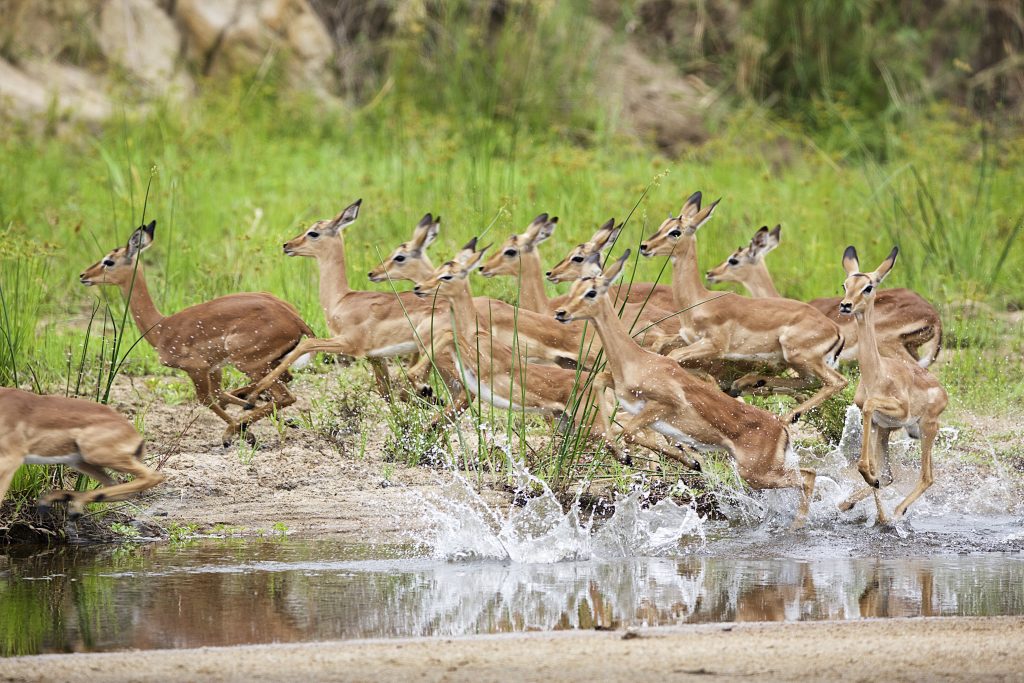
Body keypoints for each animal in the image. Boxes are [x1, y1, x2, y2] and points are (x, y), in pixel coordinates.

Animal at [0, 388, 164, 517]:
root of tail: (136, 435)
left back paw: (71, 506)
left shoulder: (12, 459)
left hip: (95, 455)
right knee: (116, 486)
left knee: (152, 476)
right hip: (80, 461)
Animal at [80, 221, 313, 445]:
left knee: (285, 396)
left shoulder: (196, 367)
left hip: (248, 362)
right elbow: (220, 394)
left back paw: (233, 431)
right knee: (283, 382)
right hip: (266, 363)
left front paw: (240, 433)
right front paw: (254, 428)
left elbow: (206, 399)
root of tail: (296, 320)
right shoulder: (215, 367)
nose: (84, 275)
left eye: (109, 261)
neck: (161, 328)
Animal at [553, 251, 815, 528]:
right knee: (807, 474)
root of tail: (781, 426)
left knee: (808, 477)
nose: (561, 312)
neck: (635, 360)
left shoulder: (666, 404)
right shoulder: (621, 391)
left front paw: (689, 460)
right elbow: (600, 384)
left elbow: (631, 433)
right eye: (574, 287)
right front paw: (623, 456)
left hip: (756, 472)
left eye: (591, 292)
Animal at [639, 192, 848, 423]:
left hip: (800, 357)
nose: (644, 246)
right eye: (662, 225)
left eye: (675, 231)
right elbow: (661, 346)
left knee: (837, 382)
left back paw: (785, 417)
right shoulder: (688, 338)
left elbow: (673, 356)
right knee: (811, 382)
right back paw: (747, 386)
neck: (698, 299)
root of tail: (836, 330)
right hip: (798, 363)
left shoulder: (714, 346)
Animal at [835, 247, 947, 524]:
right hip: (896, 431)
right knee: (888, 476)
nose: (846, 305)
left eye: (868, 287)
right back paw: (852, 505)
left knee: (927, 477)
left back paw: (897, 513)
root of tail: (943, 392)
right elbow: (878, 473)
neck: (876, 374)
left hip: (927, 427)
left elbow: (869, 407)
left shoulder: (896, 411)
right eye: (845, 284)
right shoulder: (879, 424)